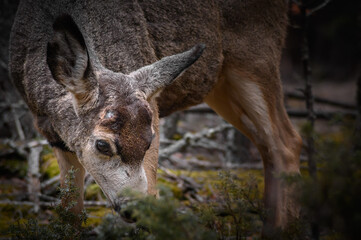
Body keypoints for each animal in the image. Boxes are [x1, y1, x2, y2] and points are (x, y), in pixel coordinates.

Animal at [8, 0, 300, 234]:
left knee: (286, 142)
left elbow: (155, 199)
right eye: (102, 144)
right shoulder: (54, 136)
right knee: (271, 144)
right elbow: (71, 214)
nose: (133, 206)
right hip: (220, 83)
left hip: (255, 58)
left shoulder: (152, 105)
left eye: (149, 140)